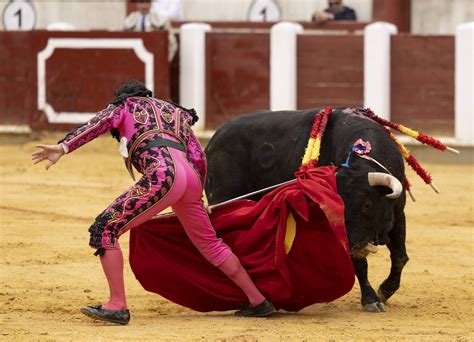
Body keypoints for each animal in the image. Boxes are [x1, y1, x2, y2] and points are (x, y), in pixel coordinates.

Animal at [206, 107, 410, 312]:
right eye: (336, 204)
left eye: (367, 204)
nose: (351, 245)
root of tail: (213, 141)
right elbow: (360, 264)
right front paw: (371, 299)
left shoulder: (398, 215)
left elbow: (400, 257)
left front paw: (385, 291)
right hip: (224, 199)